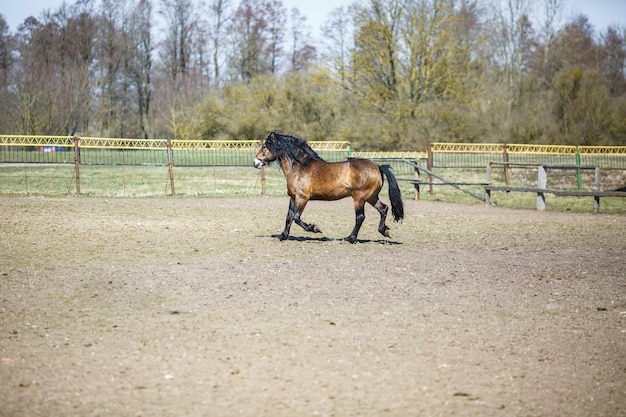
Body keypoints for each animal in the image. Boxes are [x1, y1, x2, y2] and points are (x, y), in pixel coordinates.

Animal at [252, 129, 402, 240]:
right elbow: (288, 217)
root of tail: (377, 166)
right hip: (371, 197)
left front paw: (315, 228)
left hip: (359, 198)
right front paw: (283, 236)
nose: (255, 162)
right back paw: (384, 231)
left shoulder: (303, 198)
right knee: (384, 209)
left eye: (264, 146)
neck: (300, 166)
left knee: (360, 217)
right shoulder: (293, 198)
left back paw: (350, 238)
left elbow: (296, 217)